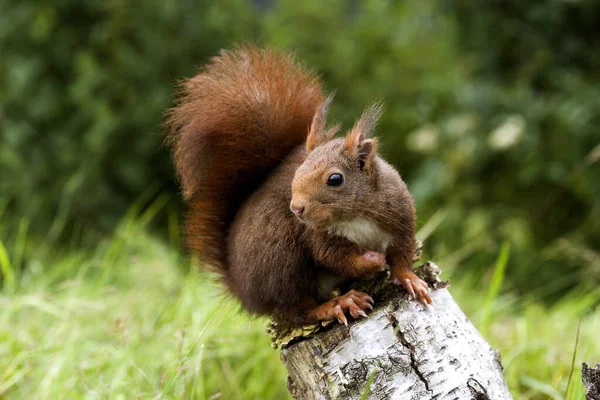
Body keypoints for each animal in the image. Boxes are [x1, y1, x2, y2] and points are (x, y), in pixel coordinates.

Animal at [168, 47, 432, 326]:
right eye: (297, 171)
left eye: (335, 179)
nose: (296, 208)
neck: (356, 216)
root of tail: (243, 290)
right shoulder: (316, 235)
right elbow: (336, 259)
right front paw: (372, 260)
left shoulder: (400, 216)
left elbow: (402, 254)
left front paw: (411, 280)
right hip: (283, 261)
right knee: (298, 310)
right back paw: (338, 304)